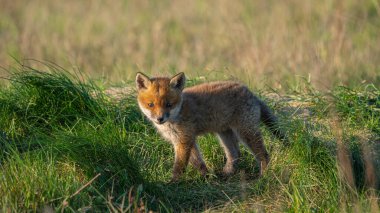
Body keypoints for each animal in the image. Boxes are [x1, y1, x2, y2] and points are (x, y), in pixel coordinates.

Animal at [135, 72, 286, 181]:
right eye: (151, 105)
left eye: (168, 104)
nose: (159, 119)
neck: (178, 114)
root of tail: (251, 93)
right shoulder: (186, 139)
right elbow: (197, 162)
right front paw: (206, 177)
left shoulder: (184, 140)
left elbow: (180, 165)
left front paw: (174, 182)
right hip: (225, 133)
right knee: (235, 154)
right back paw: (227, 173)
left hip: (246, 132)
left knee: (264, 155)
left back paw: (264, 176)